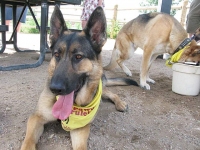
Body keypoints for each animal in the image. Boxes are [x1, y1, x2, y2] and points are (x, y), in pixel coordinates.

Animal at [20, 5, 139, 149]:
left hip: (99, 88)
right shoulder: (36, 118)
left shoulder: (80, 129)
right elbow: (28, 141)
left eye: (78, 56)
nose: (54, 89)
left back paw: (120, 103)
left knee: (112, 94)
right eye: (56, 54)